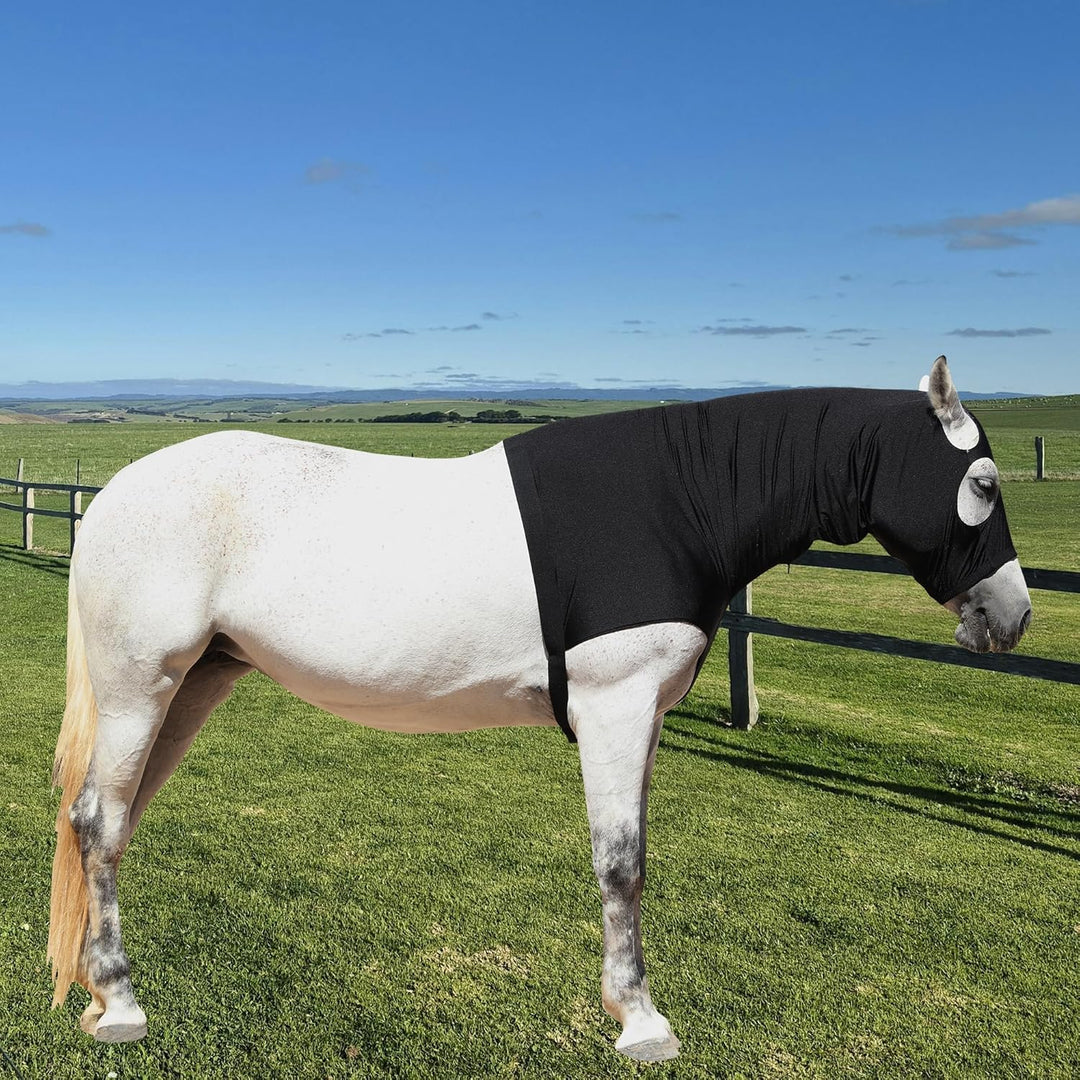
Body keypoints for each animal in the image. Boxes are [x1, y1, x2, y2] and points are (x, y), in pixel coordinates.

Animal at [47, 357, 1031, 1061]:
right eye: (983, 481)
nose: (1013, 616)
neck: (677, 498)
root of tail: (112, 499)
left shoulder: (644, 718)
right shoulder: (613, 705)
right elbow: (621, 865)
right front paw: (640, 1021)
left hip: (191, 685)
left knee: (112, 821)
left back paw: (101, 992)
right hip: (142, 688)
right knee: (99, 822)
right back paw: (122, 1005)